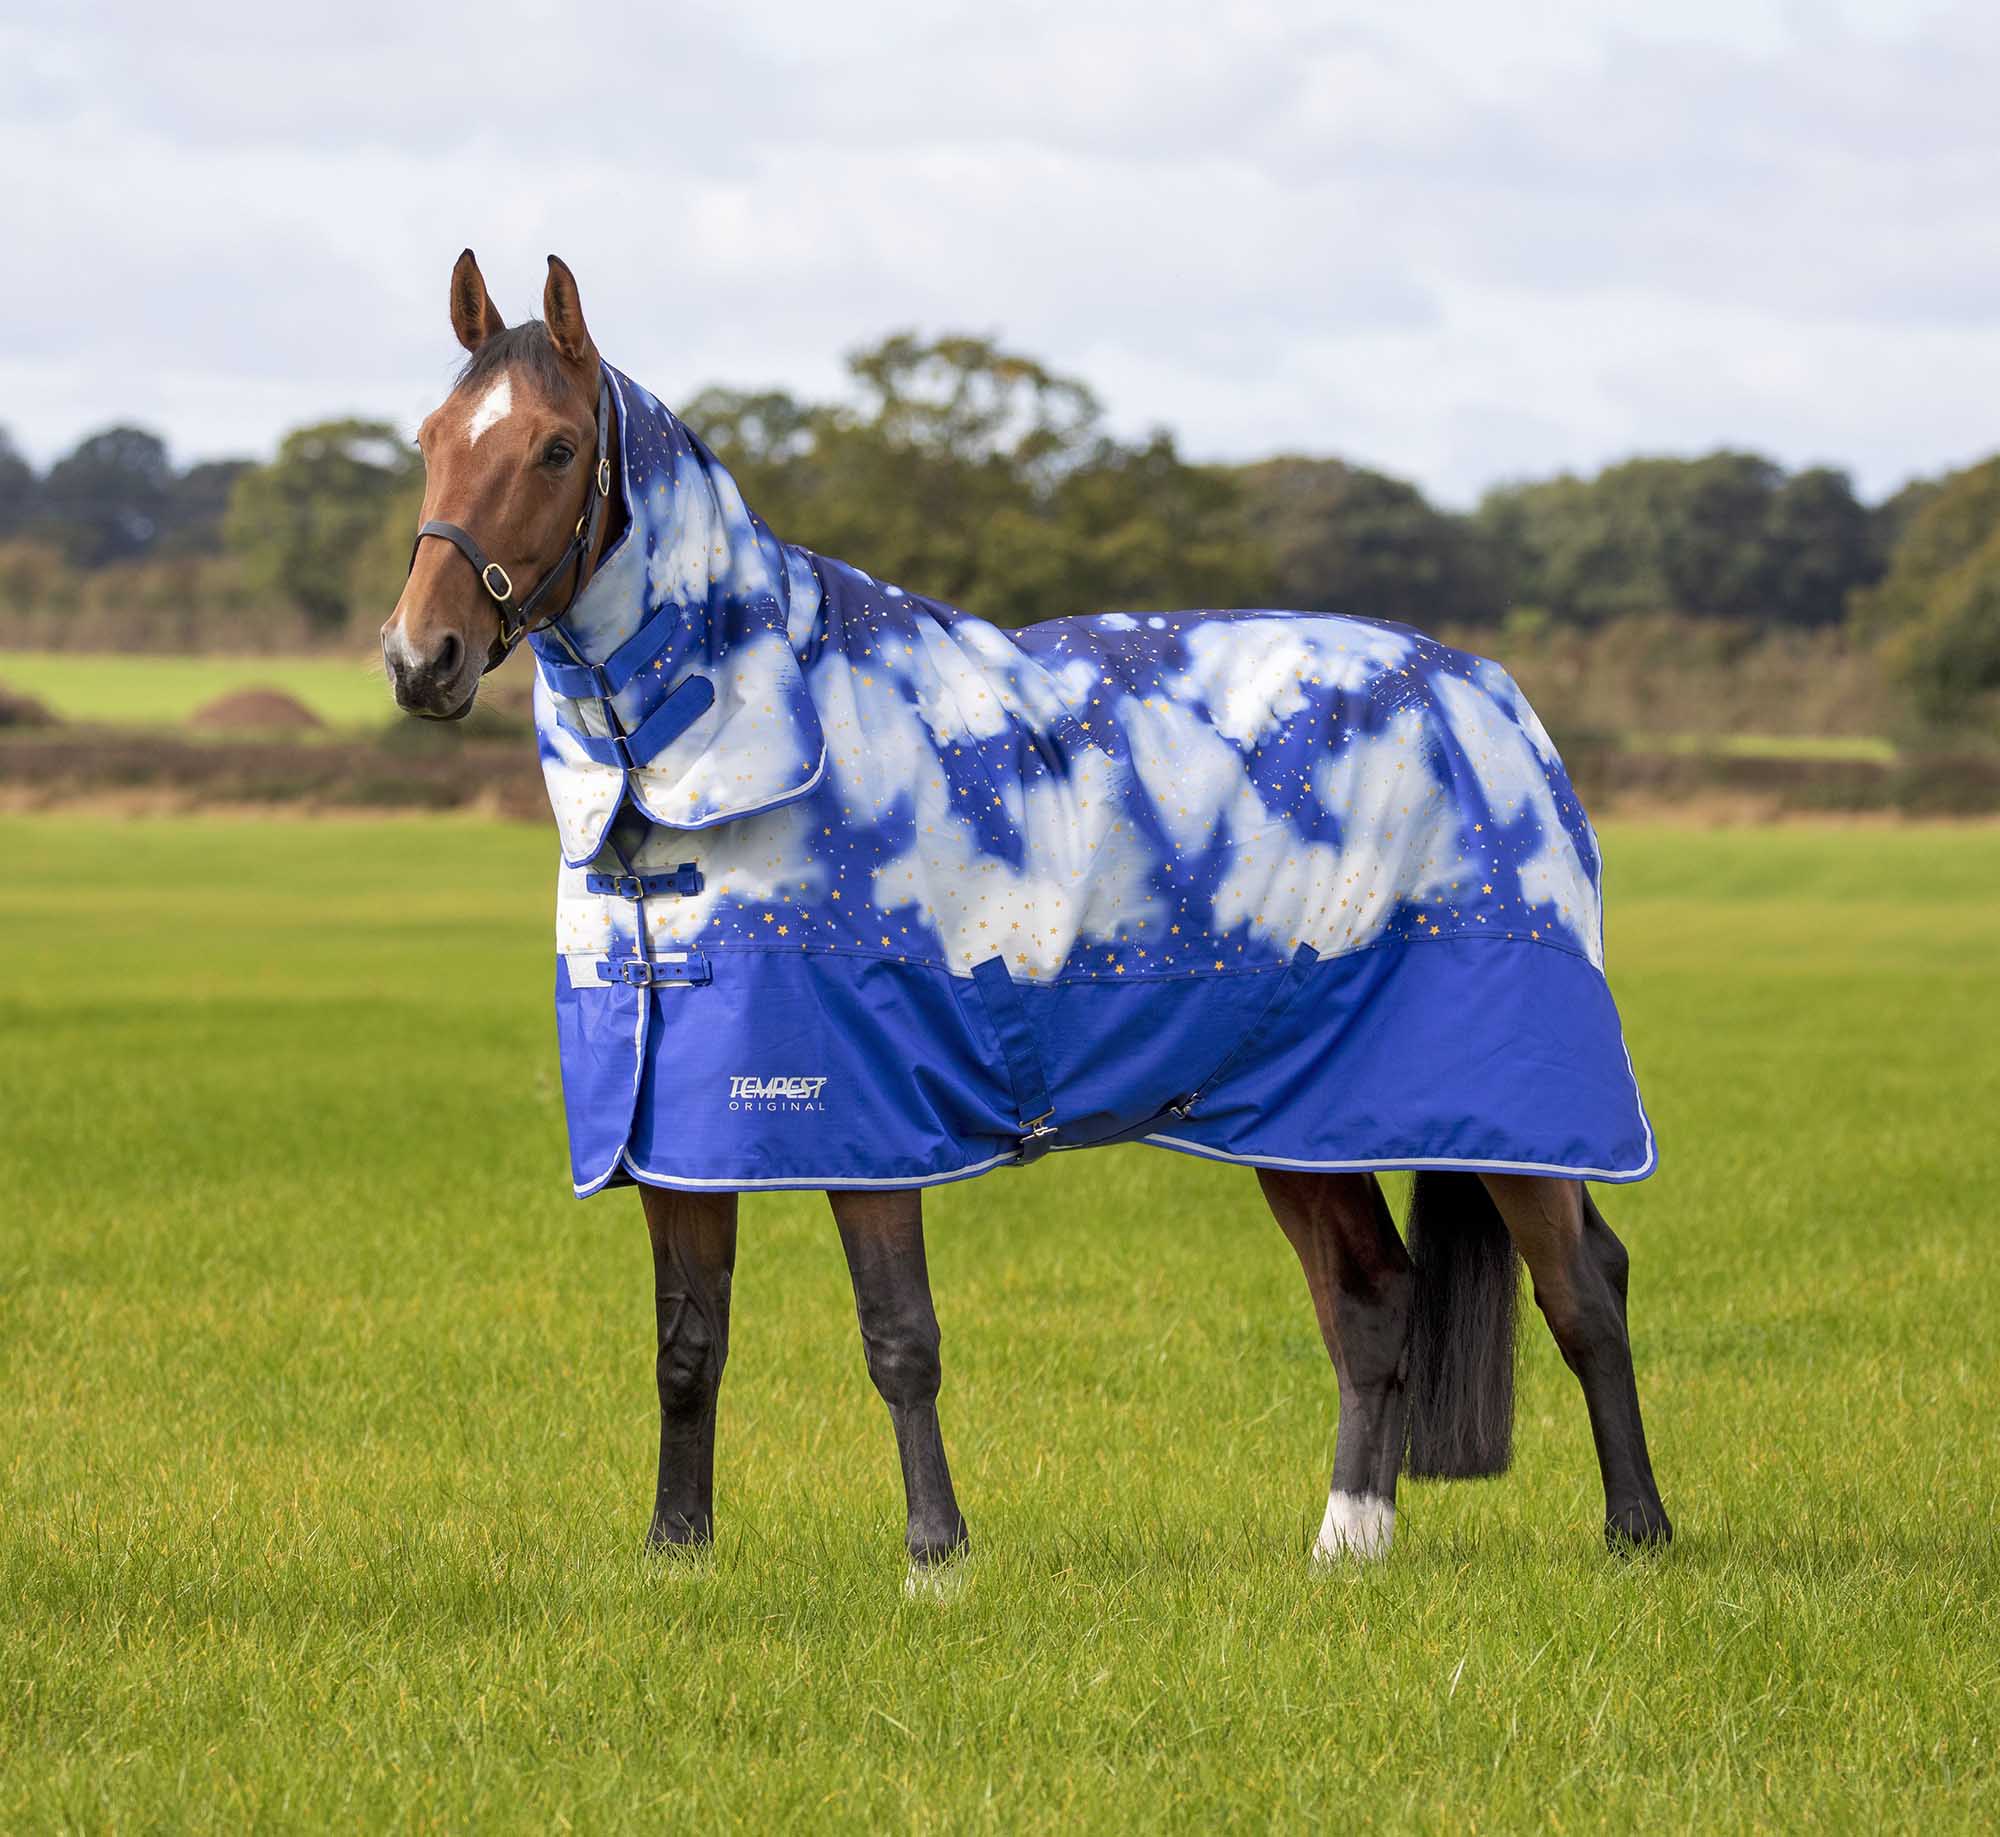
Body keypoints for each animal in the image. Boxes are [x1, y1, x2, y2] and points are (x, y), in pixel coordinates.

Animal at [381, 250, 1671, 1578]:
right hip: (1303, 1118)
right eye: (429, 438)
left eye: (550, 447)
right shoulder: (676, 1134)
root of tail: (1490, 695)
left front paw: (935, 1555)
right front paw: (675, 1550)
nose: (421, 658)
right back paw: (1343, 1544)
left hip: (1506, 1103)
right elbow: (688, 1344)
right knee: (1373, 1300)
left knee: (1583, 1286)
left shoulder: (869, 1116)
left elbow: (898, 1335)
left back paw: (1636, 1532)